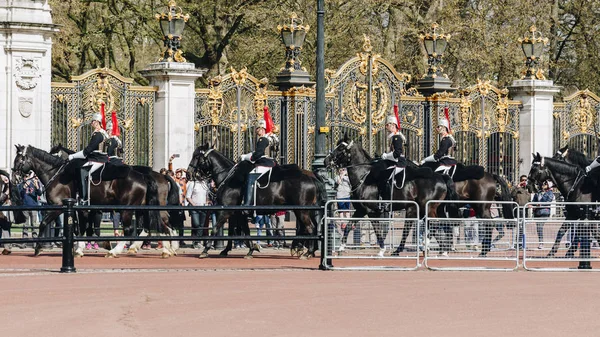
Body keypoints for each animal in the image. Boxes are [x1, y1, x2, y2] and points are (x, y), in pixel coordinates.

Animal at [13, 144, 164, 258]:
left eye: (18, 160)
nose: (14, 178)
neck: (56, 174)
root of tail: (142, 176)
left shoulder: (59, 206)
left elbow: (44, 223)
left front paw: (38, 248)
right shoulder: (78, 210)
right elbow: (79, 228)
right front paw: (77, 248)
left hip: (126, 209)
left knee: (129, 229)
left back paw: (115, 251)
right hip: (141, 208)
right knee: (145, 227)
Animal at [190, 143, 326, 258]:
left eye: (196, 156)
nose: (189, 174)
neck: (228, 176)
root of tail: (311, 177)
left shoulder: (225, 212)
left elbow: (215, 229)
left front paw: (205, 250)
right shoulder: (237, 214)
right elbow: (241, 231)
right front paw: (248, 249)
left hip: (302, 210)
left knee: (310, 227)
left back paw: (307, 252)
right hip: (307, 210)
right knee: (311, 226)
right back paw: (307, 249)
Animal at [326, 136, 458, 255]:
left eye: (341, 147)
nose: (326, 161)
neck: (364, 178)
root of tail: (441, 176)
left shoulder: (371, 211)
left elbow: (377, 230)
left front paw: (382, 249)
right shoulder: (361, 210)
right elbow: (348, 226)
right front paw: (341, 247)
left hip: (426, 208)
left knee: (433, 224)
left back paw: (427, 245)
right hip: (424, 209)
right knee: (438, 225)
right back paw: (440, 248)